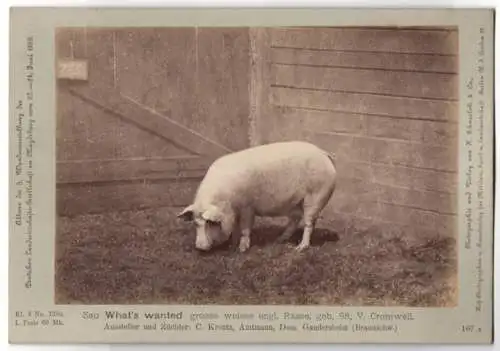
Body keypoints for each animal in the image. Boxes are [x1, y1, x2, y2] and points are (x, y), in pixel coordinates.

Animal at [178, 140, 338, 253]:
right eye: (196, 223)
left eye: (210, 222)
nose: (200, 247)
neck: (227, 203)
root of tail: (324, 154)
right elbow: (236, 228)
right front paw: (232, 246)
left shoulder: (247, 207)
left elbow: (245, 228)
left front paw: (242, 249)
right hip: (296, 203)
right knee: (295, 220)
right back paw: (279, 240)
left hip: (315, 197)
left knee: (309, 223)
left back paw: (300, 248)